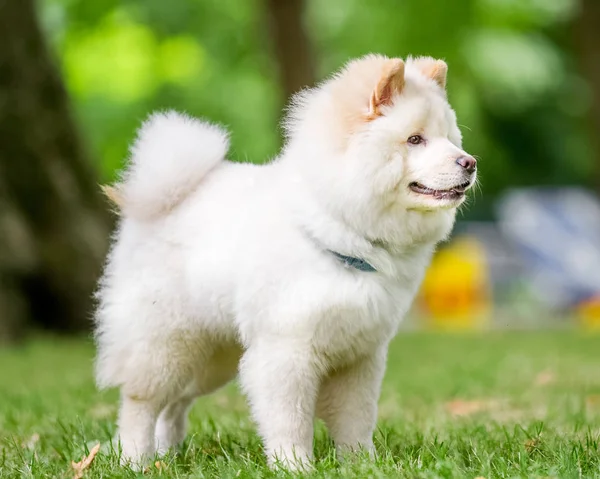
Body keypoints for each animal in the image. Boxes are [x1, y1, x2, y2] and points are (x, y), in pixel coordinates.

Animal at [94, 54, 478, 470]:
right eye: (415, 140)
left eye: (449, 138)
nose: (469, 162)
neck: (341, 229)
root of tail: (160, 200)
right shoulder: (287, 351)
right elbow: (290, 420)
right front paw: (294, 466)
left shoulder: (360, 356)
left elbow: (356, 420)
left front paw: (361, 464)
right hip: (166, 343)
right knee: (141, 403)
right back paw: (136, 459)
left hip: (212, 356)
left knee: (174, 404)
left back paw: (167, 454)